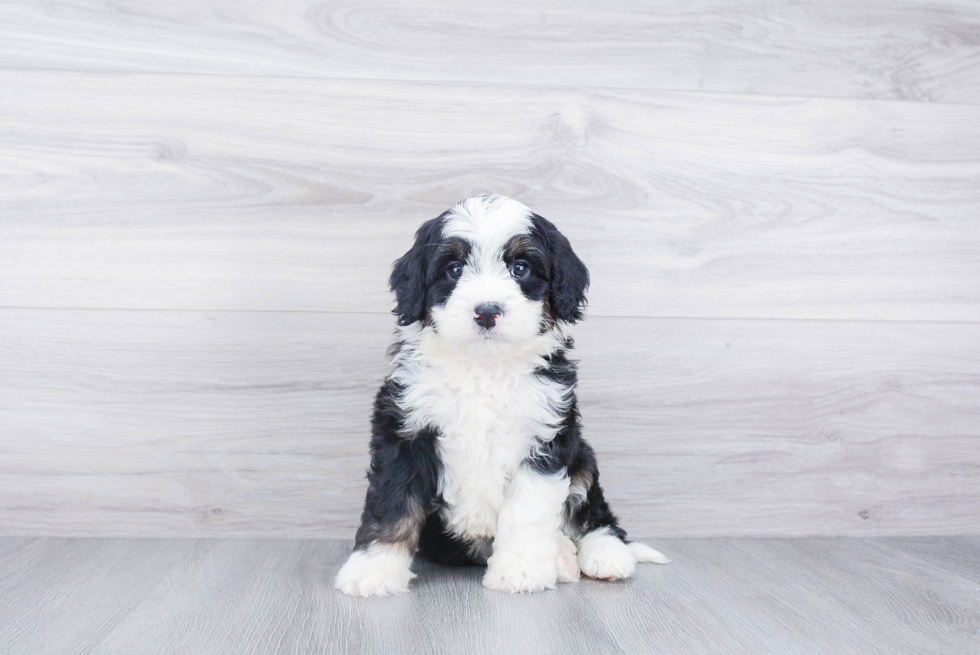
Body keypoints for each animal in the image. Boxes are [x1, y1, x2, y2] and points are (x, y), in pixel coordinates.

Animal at [334, 192, 668, 596]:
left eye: (520, 268)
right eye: (454, 269)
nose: (487, 311)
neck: (485, 368)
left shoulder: (544, 436)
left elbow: (527, 511)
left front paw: (520, 571)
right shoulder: (404, 428)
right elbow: (392, 502)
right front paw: (373, 570)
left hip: (583, 455)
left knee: (594, 512)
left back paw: (604, 554)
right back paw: (562, 556)